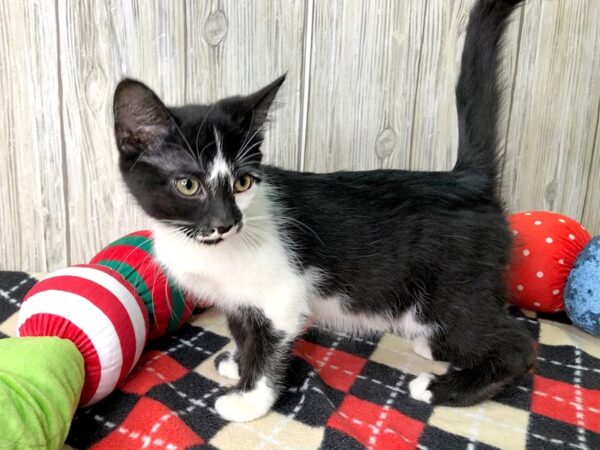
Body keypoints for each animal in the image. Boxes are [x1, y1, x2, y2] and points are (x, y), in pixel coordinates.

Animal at [112, 0, 536, 422]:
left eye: (242, 182)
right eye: (188, 185)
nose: (226, 222)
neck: (204, 248)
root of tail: (467, 180)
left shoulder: (283, 295)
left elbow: (269, 344)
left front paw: (250, 397)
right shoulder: (237, 296)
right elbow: (244, 329)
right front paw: (238, 359)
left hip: (451, 289)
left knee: (517, 345)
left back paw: (441, 387)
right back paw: (431, 347)